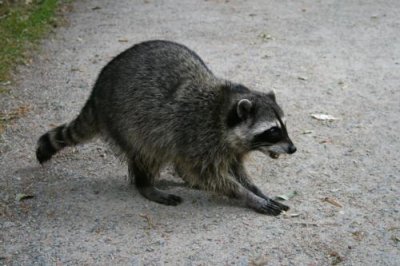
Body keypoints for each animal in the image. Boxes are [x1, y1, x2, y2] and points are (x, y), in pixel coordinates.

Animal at [36, 41, 296, 216]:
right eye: (273, 131)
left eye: (284, 126)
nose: (293, 149)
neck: (223, 112)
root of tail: (96, 91)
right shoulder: (198, 136)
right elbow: (213, 176)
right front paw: (246, 196)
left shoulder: (229, 148)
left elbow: (236, 171)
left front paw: (256, 190)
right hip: (129, 122)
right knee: (147, 152)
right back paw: (145, 184)